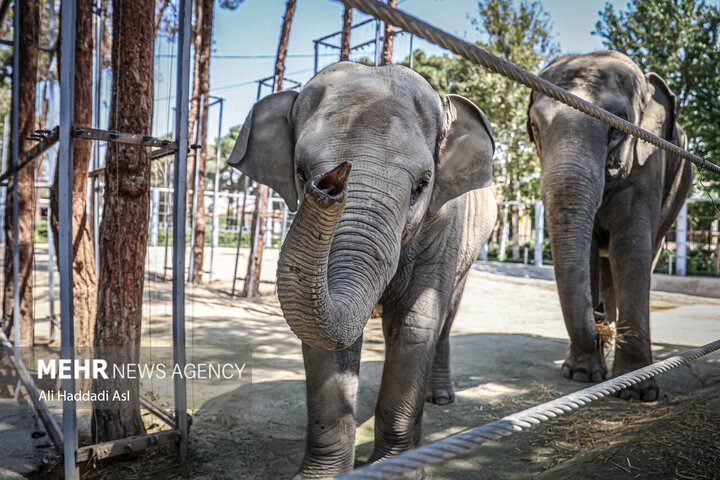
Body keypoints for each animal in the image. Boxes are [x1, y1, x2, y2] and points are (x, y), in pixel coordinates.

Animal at [228, 62, 498, 478]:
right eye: (300, 173)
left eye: (422, 186)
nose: (331, 183)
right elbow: (324, 341)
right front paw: (322, 475)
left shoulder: (445, 223)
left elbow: (415, 324)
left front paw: (397, 468)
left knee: (446, 314)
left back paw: (439, 399)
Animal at [528, 50, 692, 402]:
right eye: (534, 126)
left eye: (619, 122)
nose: (598, 315)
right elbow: (588, 250)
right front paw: (581, 375)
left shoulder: (649, 162)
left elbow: (630, 248)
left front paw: (637, 391)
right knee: (604, 267)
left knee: (645, 253)